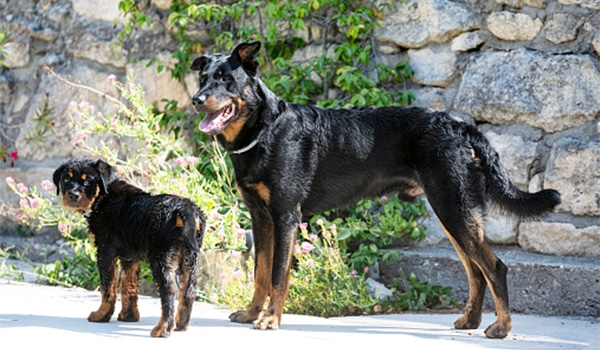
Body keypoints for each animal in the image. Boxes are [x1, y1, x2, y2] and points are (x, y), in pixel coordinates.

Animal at [52, 157, 206, 338]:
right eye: (66, 179)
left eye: (88, 180)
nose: (73, 195)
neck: (102, 197)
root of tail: (185, 209)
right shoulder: (130, 257)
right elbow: (128, 285)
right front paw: (129, 316)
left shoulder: (105, 252)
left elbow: (108, 288)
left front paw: (101, 315)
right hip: (190, 258)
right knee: (188, 291)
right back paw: (180, 324)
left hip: (161, 258)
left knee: (169, 290)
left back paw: (163, 329)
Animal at [190, 41, 560, 340]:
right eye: (203, 77)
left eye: (225, 78)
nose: (196, 100)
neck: (264, 130)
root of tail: (460, 126)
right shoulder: (260, 217)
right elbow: (260, 273)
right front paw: (253, 312)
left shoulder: (285, 216)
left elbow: (278, 275)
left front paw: (270, 320)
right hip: (452, 213)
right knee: (476, 271)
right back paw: (470, 321)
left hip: (453, 209)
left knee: (494, 267)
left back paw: (501, 327)